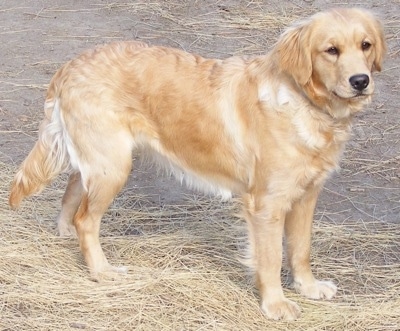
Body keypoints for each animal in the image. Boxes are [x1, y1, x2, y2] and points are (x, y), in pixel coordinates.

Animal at [8, 7, 384, 322]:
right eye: (331, 50)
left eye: (365, 45)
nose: (361, 81)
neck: (305, 103)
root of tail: (70, 65)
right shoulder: (267, 204)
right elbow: (271, 258)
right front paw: (275, 304)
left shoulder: (307, 195)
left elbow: (301, 249)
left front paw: (308, 287)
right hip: (113, 165)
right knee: (86, 218)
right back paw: (102, 270)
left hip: (102, 161)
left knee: (72, 193)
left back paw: (66, 237)